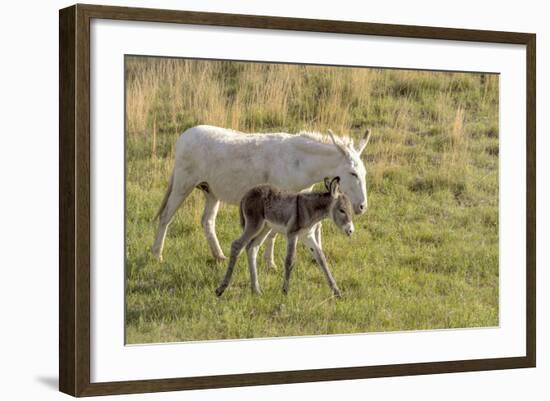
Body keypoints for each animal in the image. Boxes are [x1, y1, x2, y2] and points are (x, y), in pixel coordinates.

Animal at [218, 177, 356, 296]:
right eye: (342, 210)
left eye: (350, 211)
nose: (351, 230)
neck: (310, 210)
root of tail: (247, 193)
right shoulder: (292, 234)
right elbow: (289, 260)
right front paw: (285, 291)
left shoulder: (308, 236)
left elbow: (321, 258)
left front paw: (336, 291)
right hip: (254, 224)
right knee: (237, 245)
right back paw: (221, 289)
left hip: (265, 227)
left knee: (252, 248)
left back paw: (256, 290)